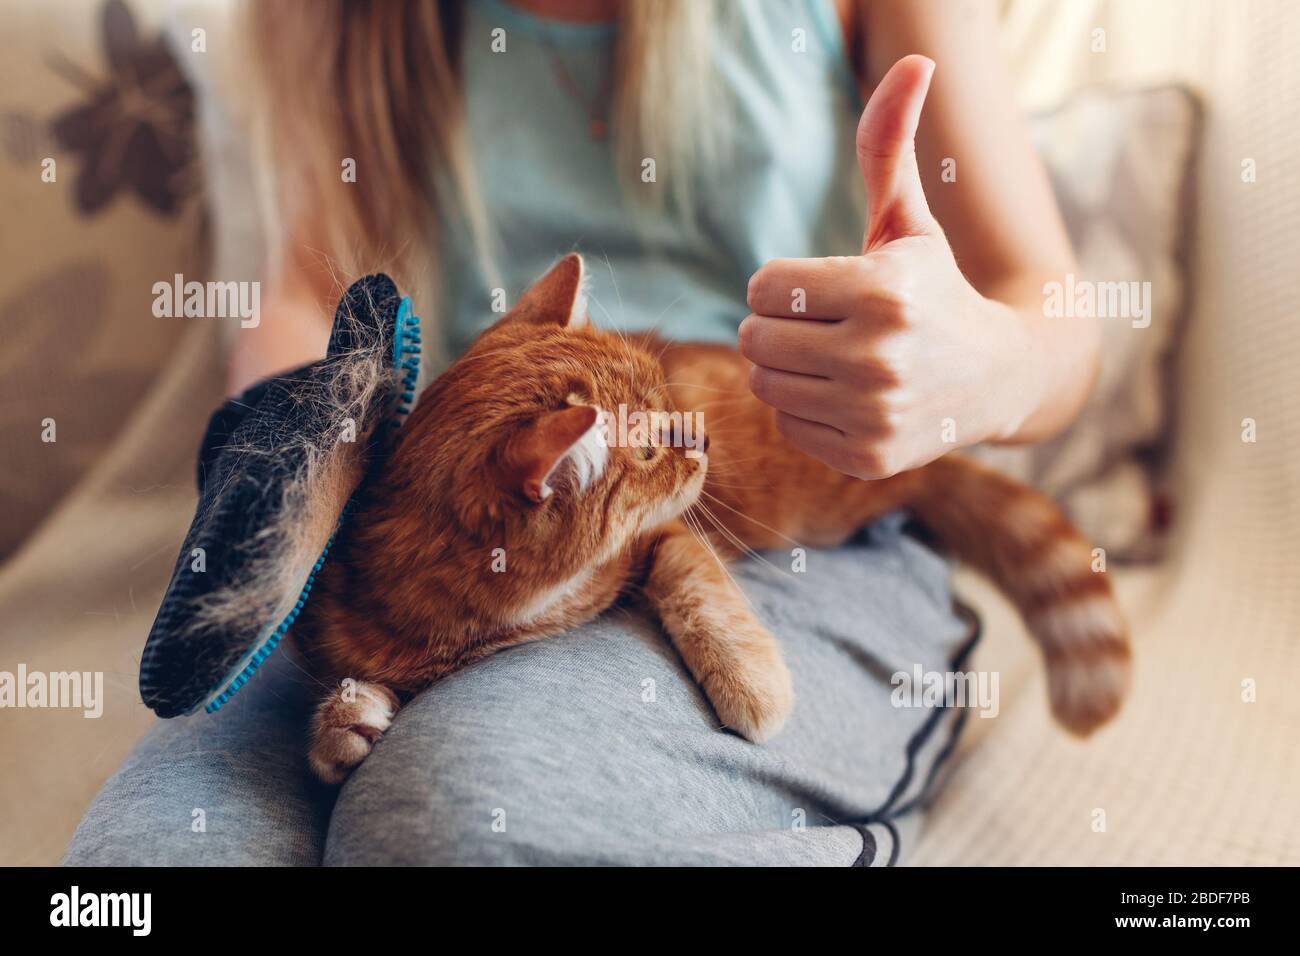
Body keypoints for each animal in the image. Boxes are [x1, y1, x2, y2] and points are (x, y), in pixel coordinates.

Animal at [301, 256, 1128, 785]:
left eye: (668, 403)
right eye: (648, 445)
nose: (700, 441)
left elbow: (695, 583)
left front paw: (751, 682)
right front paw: (344, 725)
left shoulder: (663, 540)